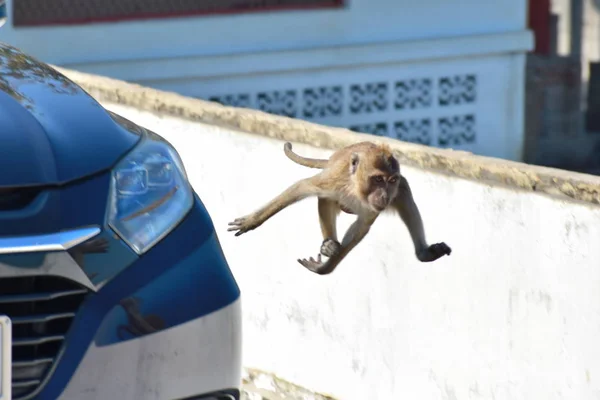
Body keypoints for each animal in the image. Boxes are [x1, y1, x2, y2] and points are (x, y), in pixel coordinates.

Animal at [229, 141, 450, 276]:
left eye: (391, 180)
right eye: (378, 179)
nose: (385, 196)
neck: (355, 187)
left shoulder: (375, 204)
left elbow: (361, 228)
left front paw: (324, 268)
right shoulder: (333, 180)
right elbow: (301, 187)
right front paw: (252, 221)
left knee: (404, 193)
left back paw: (423, 253)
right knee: (325, 199)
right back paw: (329, 244)